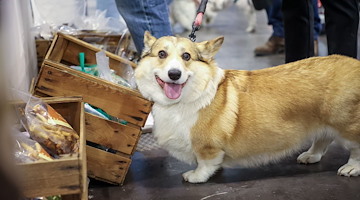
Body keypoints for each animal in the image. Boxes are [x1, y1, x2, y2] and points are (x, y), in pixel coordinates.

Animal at [134, 32, 360, 184]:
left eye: (187, 56)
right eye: (161, 54)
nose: (174, 74)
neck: (184, 99)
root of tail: (356, 64)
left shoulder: (208, 147)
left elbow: (205, 164)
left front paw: (196, 176)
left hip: (346, 124)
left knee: (355, 147)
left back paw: (351, 168)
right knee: (323, 137)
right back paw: (311, 155)